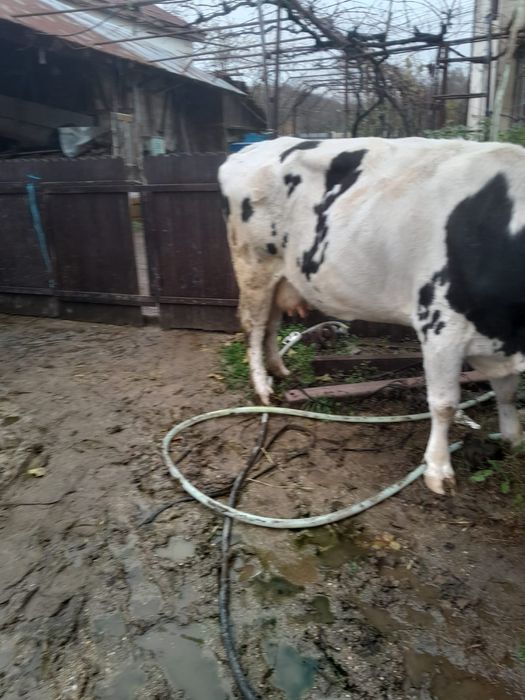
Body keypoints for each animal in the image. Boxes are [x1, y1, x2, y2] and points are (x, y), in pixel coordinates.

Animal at [218, 136, 525, 495]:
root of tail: (251, 148)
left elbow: (507, 393)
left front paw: (514, 440)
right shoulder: (440, 325)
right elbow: (445, 403)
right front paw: (438, 470)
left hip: (283, 275)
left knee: (271, 323)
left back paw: (279, 369)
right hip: (254, 264)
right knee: (254, 326)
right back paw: (263, 388)